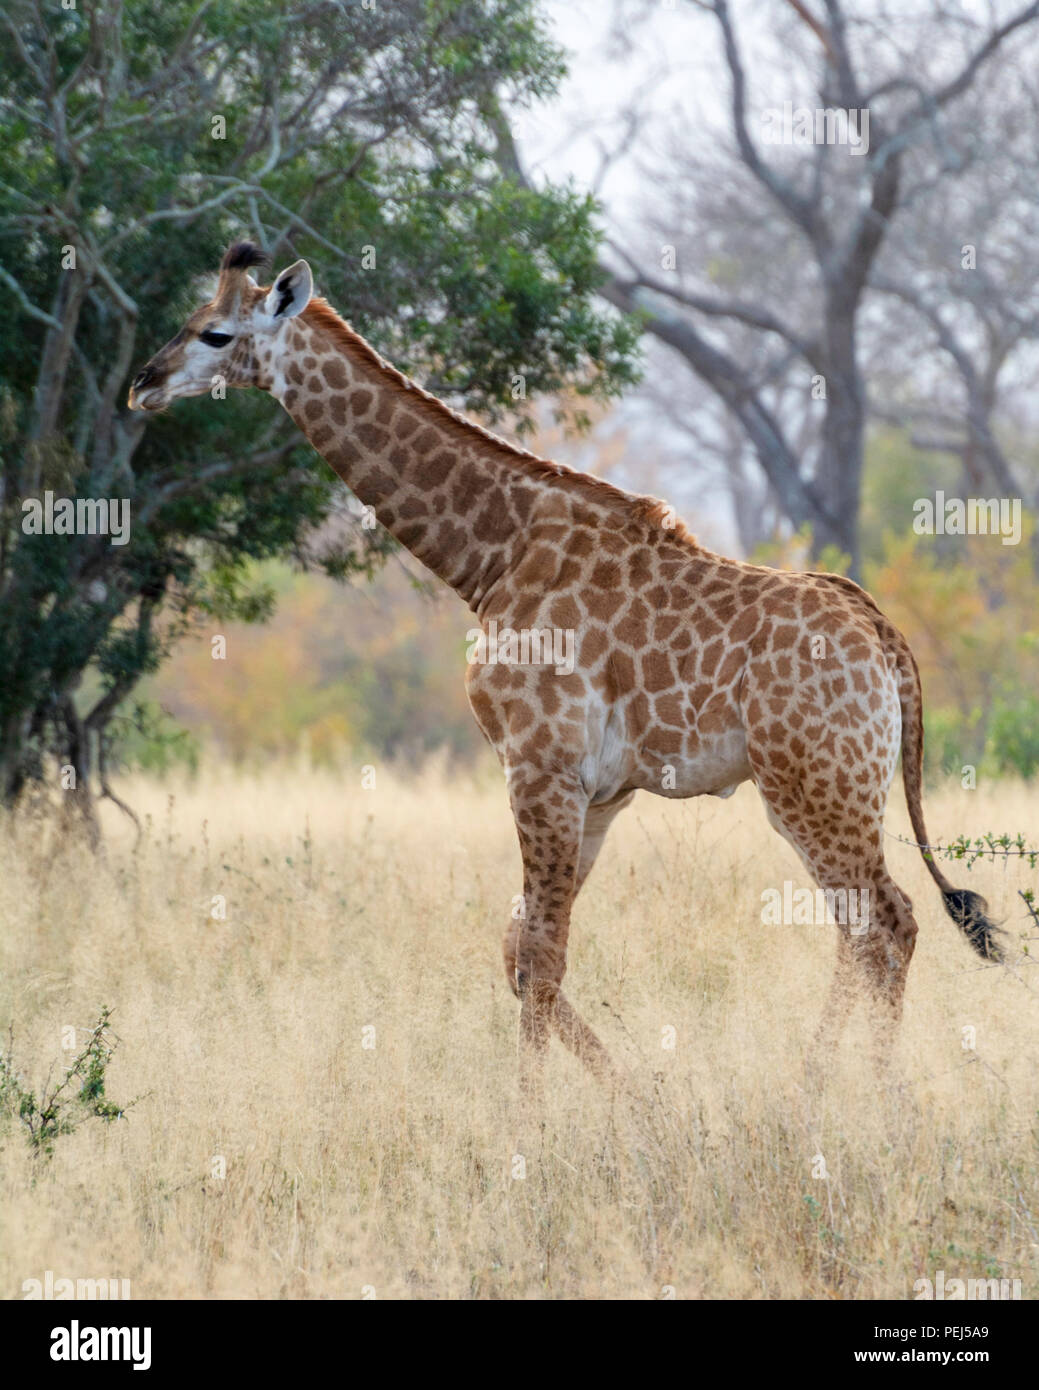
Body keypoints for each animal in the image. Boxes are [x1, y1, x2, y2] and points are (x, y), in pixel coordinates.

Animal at [128, 241, 1002, 1088]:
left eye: (215, 333)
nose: (143, 384)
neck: (490, 555)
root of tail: (885, 640)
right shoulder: (599, 792)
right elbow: (519, 954)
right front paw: (639, 1102)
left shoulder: (536, 765)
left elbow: (541, 956)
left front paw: (532, 1119)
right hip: (833, 789)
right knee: (866, 929)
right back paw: (820, 1086)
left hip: (815, 787)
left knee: (885, 923)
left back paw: (858, 1094)